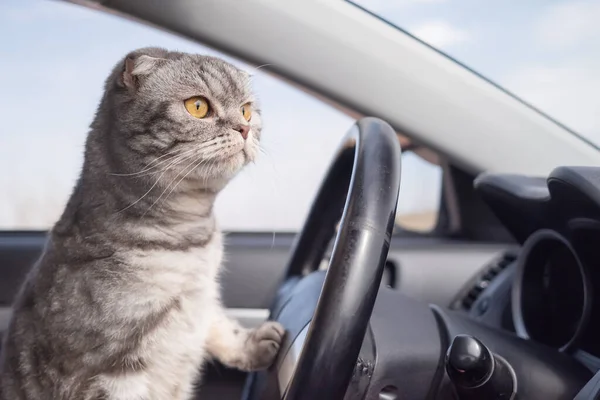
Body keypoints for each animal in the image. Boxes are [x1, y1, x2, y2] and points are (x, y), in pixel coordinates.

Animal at [0, 47, 284, 400]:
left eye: (246, 111)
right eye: (198, 106)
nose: (243, 129)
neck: (189, 234)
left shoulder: (203, 292)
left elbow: (217, 321)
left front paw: (251, 343)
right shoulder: (109, 375)